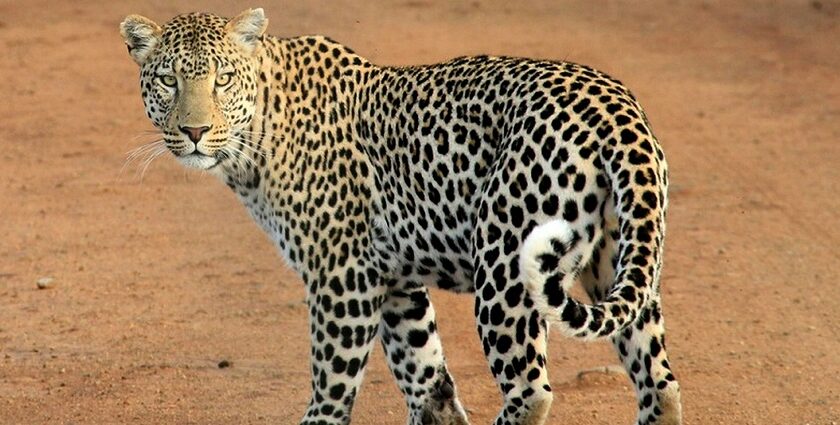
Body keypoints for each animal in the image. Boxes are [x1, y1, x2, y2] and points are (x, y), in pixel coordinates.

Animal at [120, 7, 684, 424]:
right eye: (168, 80)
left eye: (223, 79)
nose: (194, 131)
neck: (256, 135)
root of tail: (616, 108)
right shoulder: (394, 282)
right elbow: (429, 383)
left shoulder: (342, 278)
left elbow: (332, 390)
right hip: (620, 261)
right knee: (660, 383)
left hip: (504, 269)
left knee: (531, 390)